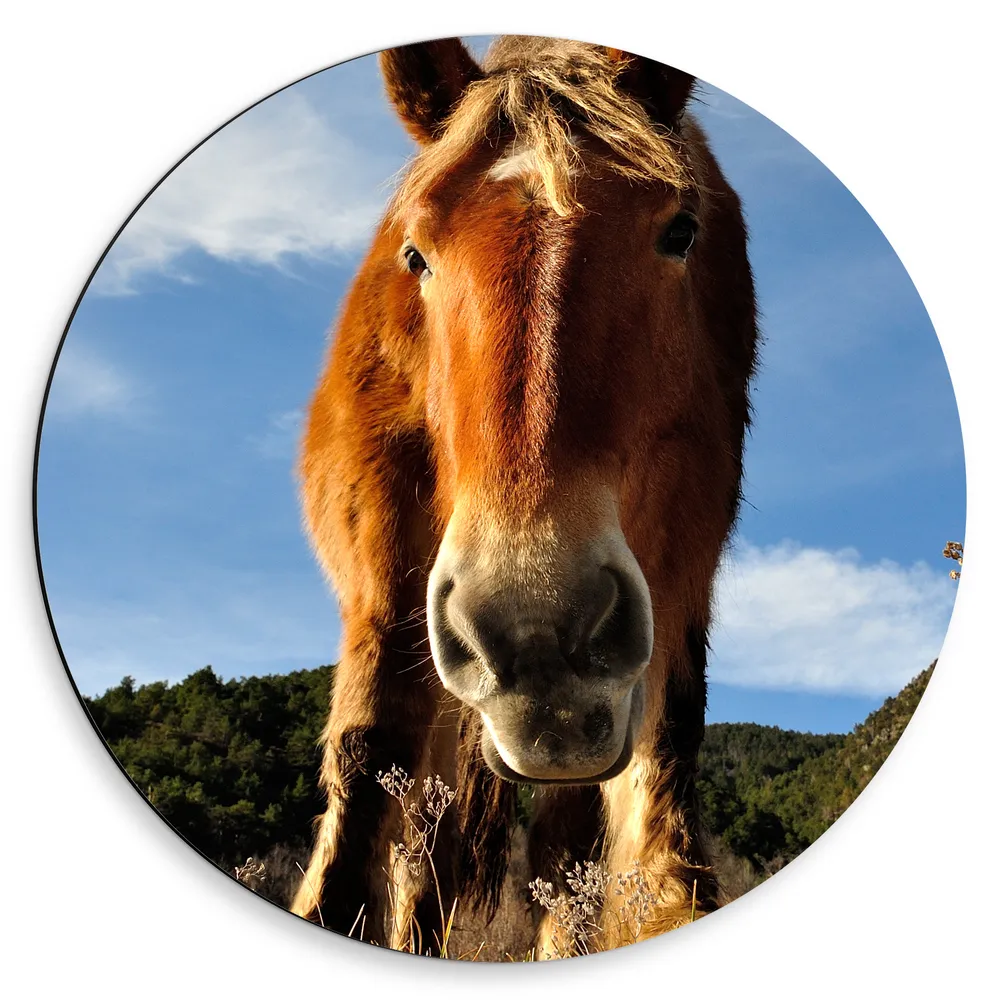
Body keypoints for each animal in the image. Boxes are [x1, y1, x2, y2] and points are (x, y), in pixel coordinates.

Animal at [290, 35, 758, 956]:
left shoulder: (684, 556)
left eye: (680, 230)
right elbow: (367, 767)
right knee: (424, 842)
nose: (535, 629)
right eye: (415, 254)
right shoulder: (383, 551)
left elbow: (644, 828)